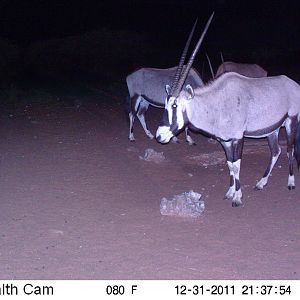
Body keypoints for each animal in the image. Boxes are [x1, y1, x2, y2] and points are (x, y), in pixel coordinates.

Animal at [156, 14, 298, 206]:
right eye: (165, 104)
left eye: (175, 105)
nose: (159, 136)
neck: (217, 103)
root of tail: (293, 84)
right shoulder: (225, 140)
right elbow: (230, 164)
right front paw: (230, 192)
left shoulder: (238, 138)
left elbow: (236, 165)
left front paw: (237, 197)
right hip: (272, 130)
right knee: (276, 151)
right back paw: (261, 183)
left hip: (291, 121)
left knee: (290, 149)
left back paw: (290, 182)